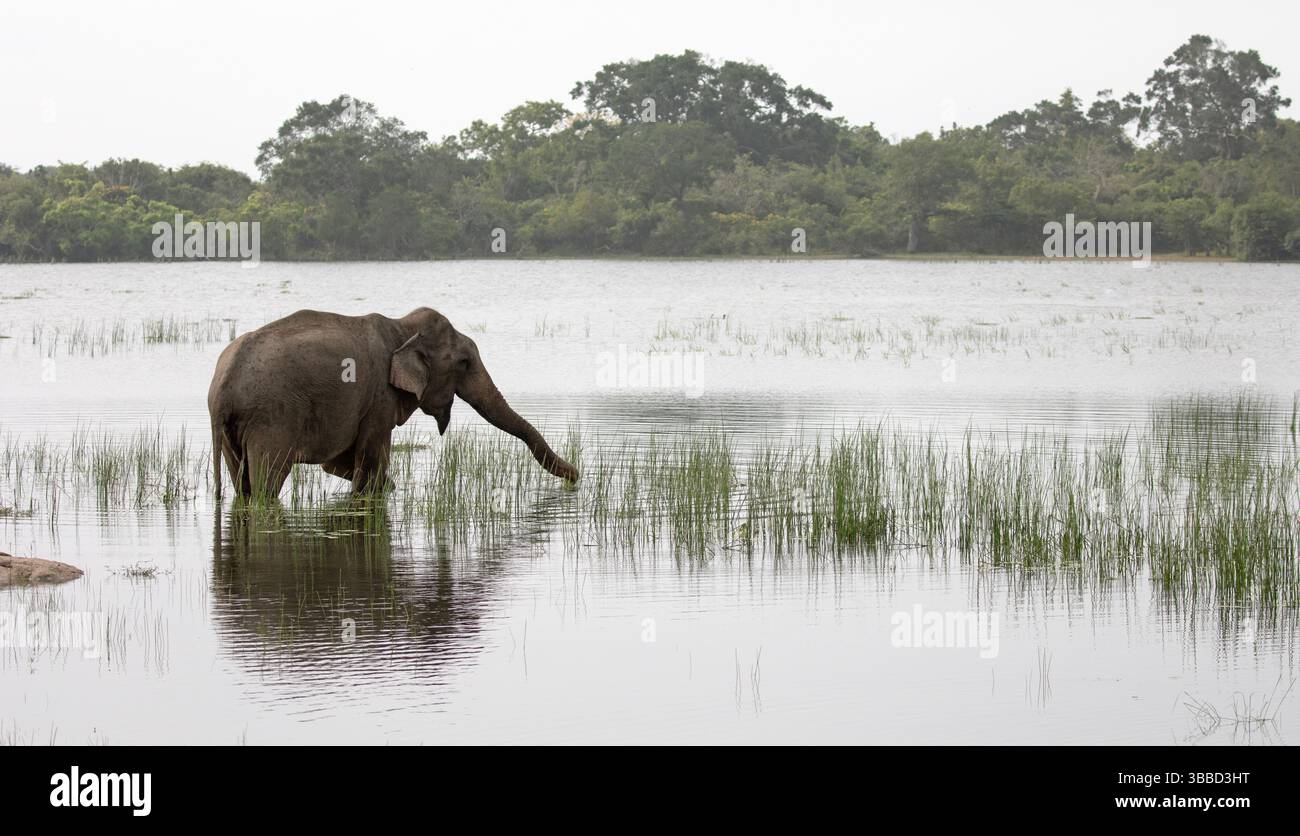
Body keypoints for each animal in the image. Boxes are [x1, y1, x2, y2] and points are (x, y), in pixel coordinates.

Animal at [207, 307, 578, 499]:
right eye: (464, 363)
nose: (577, 475)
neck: (402, 327)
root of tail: (222, 388)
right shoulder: (379, 398)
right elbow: (371, 462)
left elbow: (340, 463)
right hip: (271, 419)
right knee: (266, 483)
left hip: (234, 430)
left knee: (243, 484)